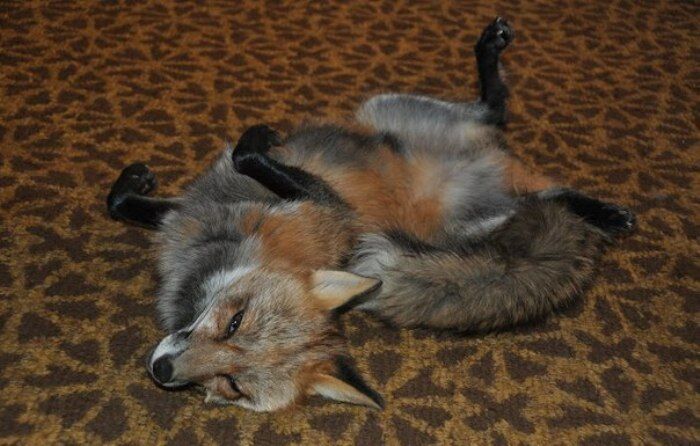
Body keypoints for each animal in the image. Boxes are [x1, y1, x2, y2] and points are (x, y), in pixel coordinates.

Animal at [106, 18, 635, 412]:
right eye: (233, 323)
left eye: (232, 383)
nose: (161, 371)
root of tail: (493, 164)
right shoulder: (196, 213)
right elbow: (126, 203)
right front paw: (134, 182)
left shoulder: (332, 207)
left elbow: (246, 155)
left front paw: (255, 138)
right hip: (391, 109)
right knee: (500, 119)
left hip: (455, 217)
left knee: (508, 128)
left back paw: (608, 214)